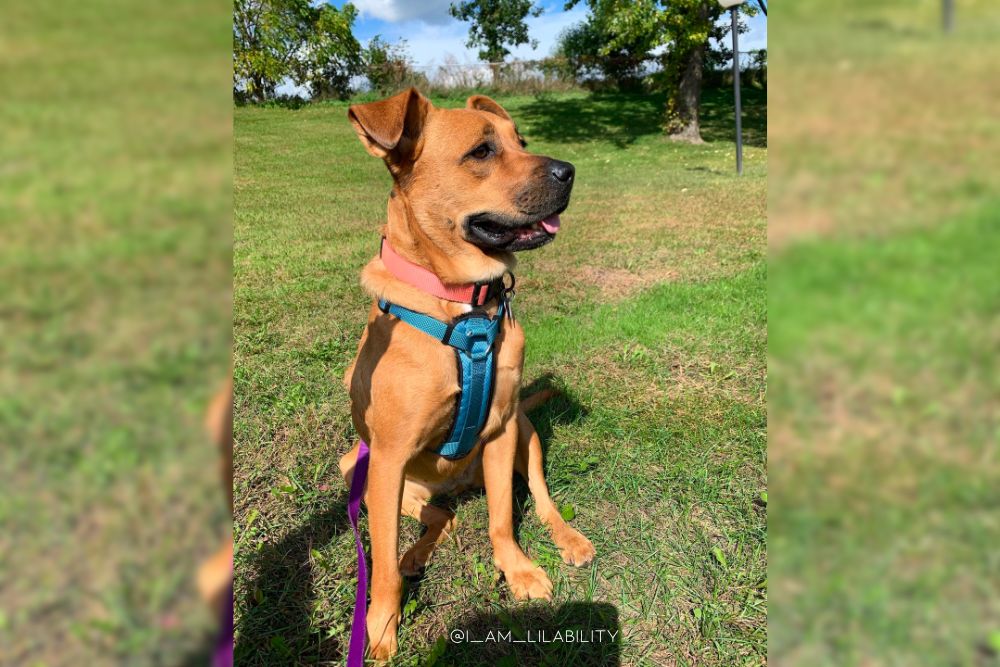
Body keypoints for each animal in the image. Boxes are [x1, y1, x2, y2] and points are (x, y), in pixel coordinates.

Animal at [340, 88, 596, 664]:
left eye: (521, 141)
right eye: (482, 151)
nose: (570, 170)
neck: (463, 307)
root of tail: (455, 485)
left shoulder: (501, 430)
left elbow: (503, 518)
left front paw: (518, 571)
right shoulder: (386, 459)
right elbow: (381, 566)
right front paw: (380, 627)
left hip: (527, 433)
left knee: (539, 496)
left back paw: (568, 537)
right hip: (357, 469)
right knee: (436, 518)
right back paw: (416, 551)